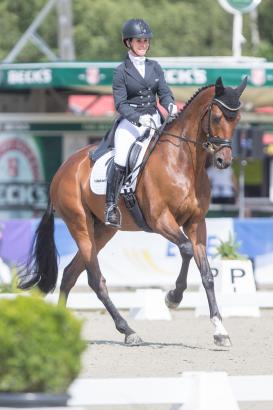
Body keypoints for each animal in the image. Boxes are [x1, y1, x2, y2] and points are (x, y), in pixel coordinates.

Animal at [20, 76, 246, 346]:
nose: (224, 161)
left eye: (237, 119)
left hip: (102, 231)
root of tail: (63, 169)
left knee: (69, 275)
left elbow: (207, 274)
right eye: (217, 117)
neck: (183, 162)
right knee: (95, 280)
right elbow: (186, 249)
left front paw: (220, 331)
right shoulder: (161, 220)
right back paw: (127, 330)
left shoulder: (196, 224)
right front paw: (173, 297)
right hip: (80, 226)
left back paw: (61, 329)